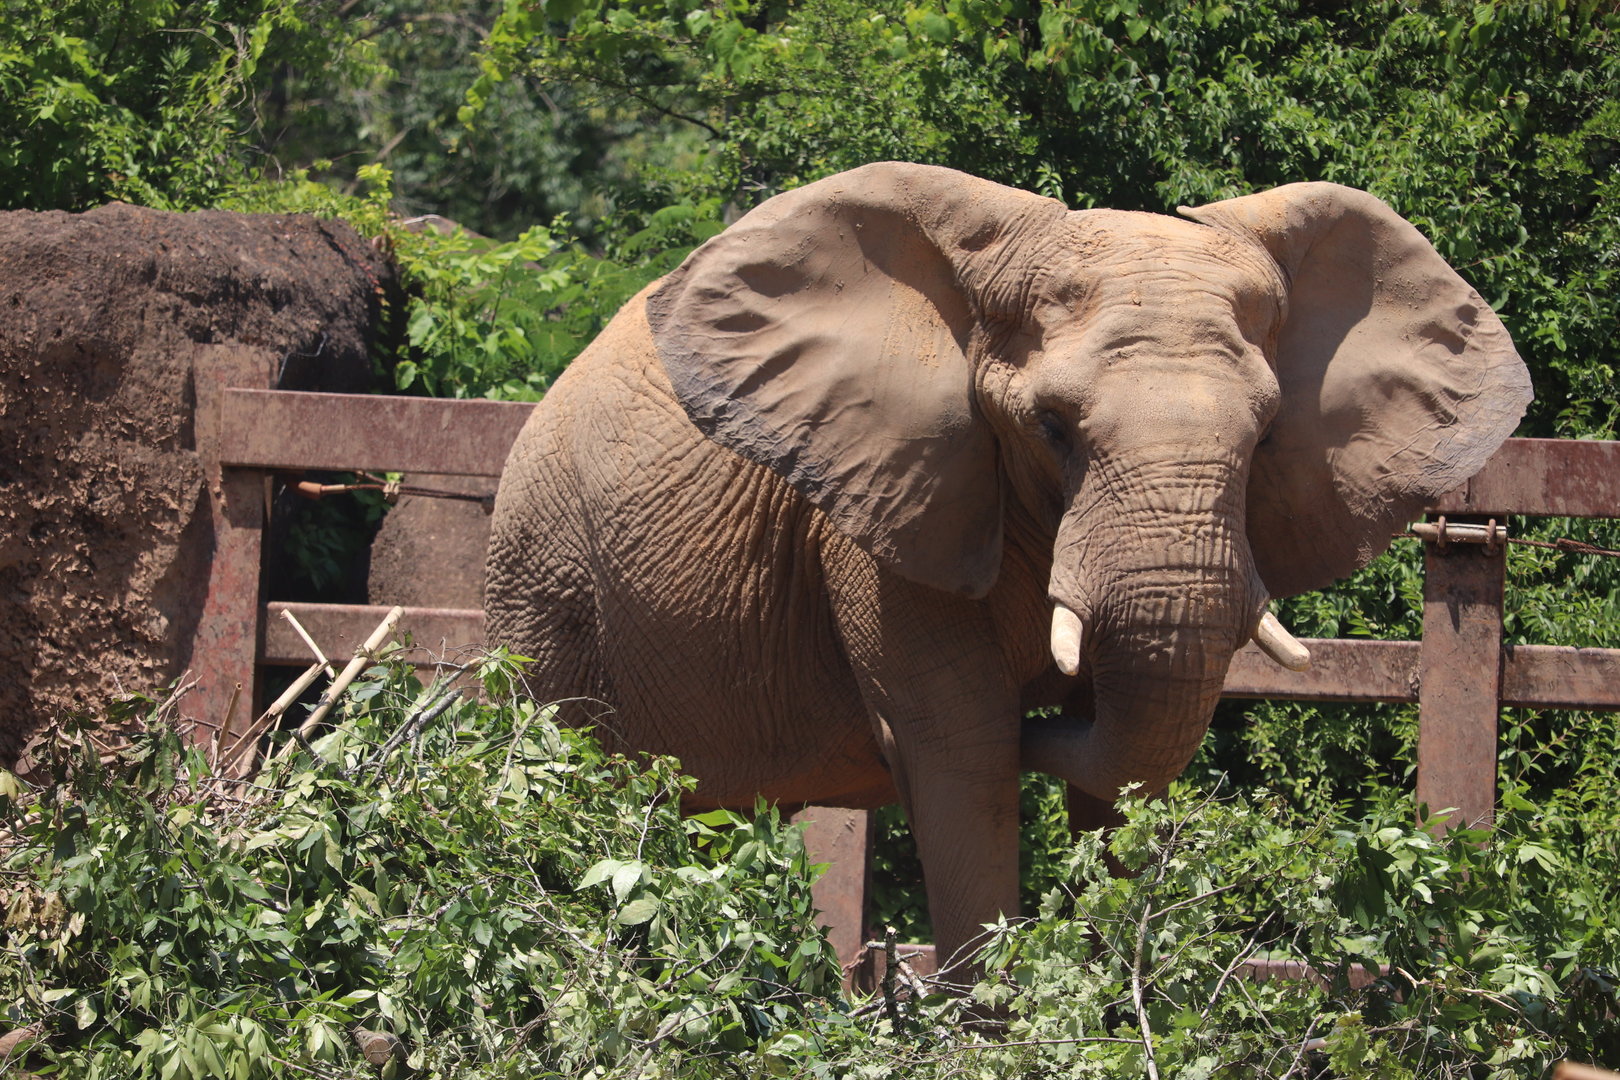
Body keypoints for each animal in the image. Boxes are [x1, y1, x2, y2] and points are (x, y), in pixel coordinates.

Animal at [485, 162, 1531, 967]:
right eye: (1053, 428)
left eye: (1269, 435)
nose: (1049, 713)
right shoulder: (889, 504)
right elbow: (965, 744)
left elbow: (1132, 761)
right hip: (544, 590)